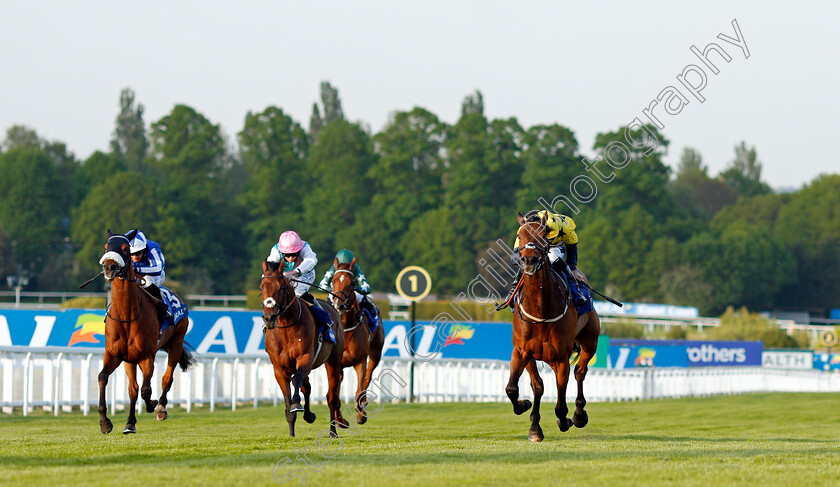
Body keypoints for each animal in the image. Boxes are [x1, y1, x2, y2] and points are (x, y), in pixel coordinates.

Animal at [98, 231, 195, 436]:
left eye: (125, 248)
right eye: (106, 246)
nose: (109, 266)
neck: (127, 315)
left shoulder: (147, 356)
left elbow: (146, 390)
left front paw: (152, 405)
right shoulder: (115, 354)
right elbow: (104, 378)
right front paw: (106, 422)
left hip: (176, 343)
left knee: (166, 378)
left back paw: (161, 408)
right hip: (131, 360)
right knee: (134, 388)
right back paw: (130, 422)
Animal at [260, 262, 344, 436]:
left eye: (281, 287)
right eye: (261, 287)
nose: (269, 318)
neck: (286, 327)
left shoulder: (305, 357)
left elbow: (295, 380)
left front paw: (296, 405)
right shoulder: (279, 368)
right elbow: (288, 397)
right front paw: (292, 431)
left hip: (333, 361)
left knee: (331, 397)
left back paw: (332, 431)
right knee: (307, 386)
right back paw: (309, 415)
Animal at [334, 260, 388, 424]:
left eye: (351, 283)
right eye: (333, 281)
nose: (338, 305)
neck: (345, 329)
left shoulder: (360, 360)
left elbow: (359, 389)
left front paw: (361, 415)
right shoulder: (337, 364)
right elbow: (334, 394)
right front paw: (339, 419)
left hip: (376, 352)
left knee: (367, 377)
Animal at [506, 214, 604, 442]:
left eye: (543, 236)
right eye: (519, 235)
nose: (529, 260)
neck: (542, 309)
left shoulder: (561, 358)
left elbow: (560, 405)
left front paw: (565, 420)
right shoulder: (522, 351)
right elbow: (514, 389)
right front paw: (528, 414)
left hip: (590, 341)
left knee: (580, 372)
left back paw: (579, 415)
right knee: (539, 385)